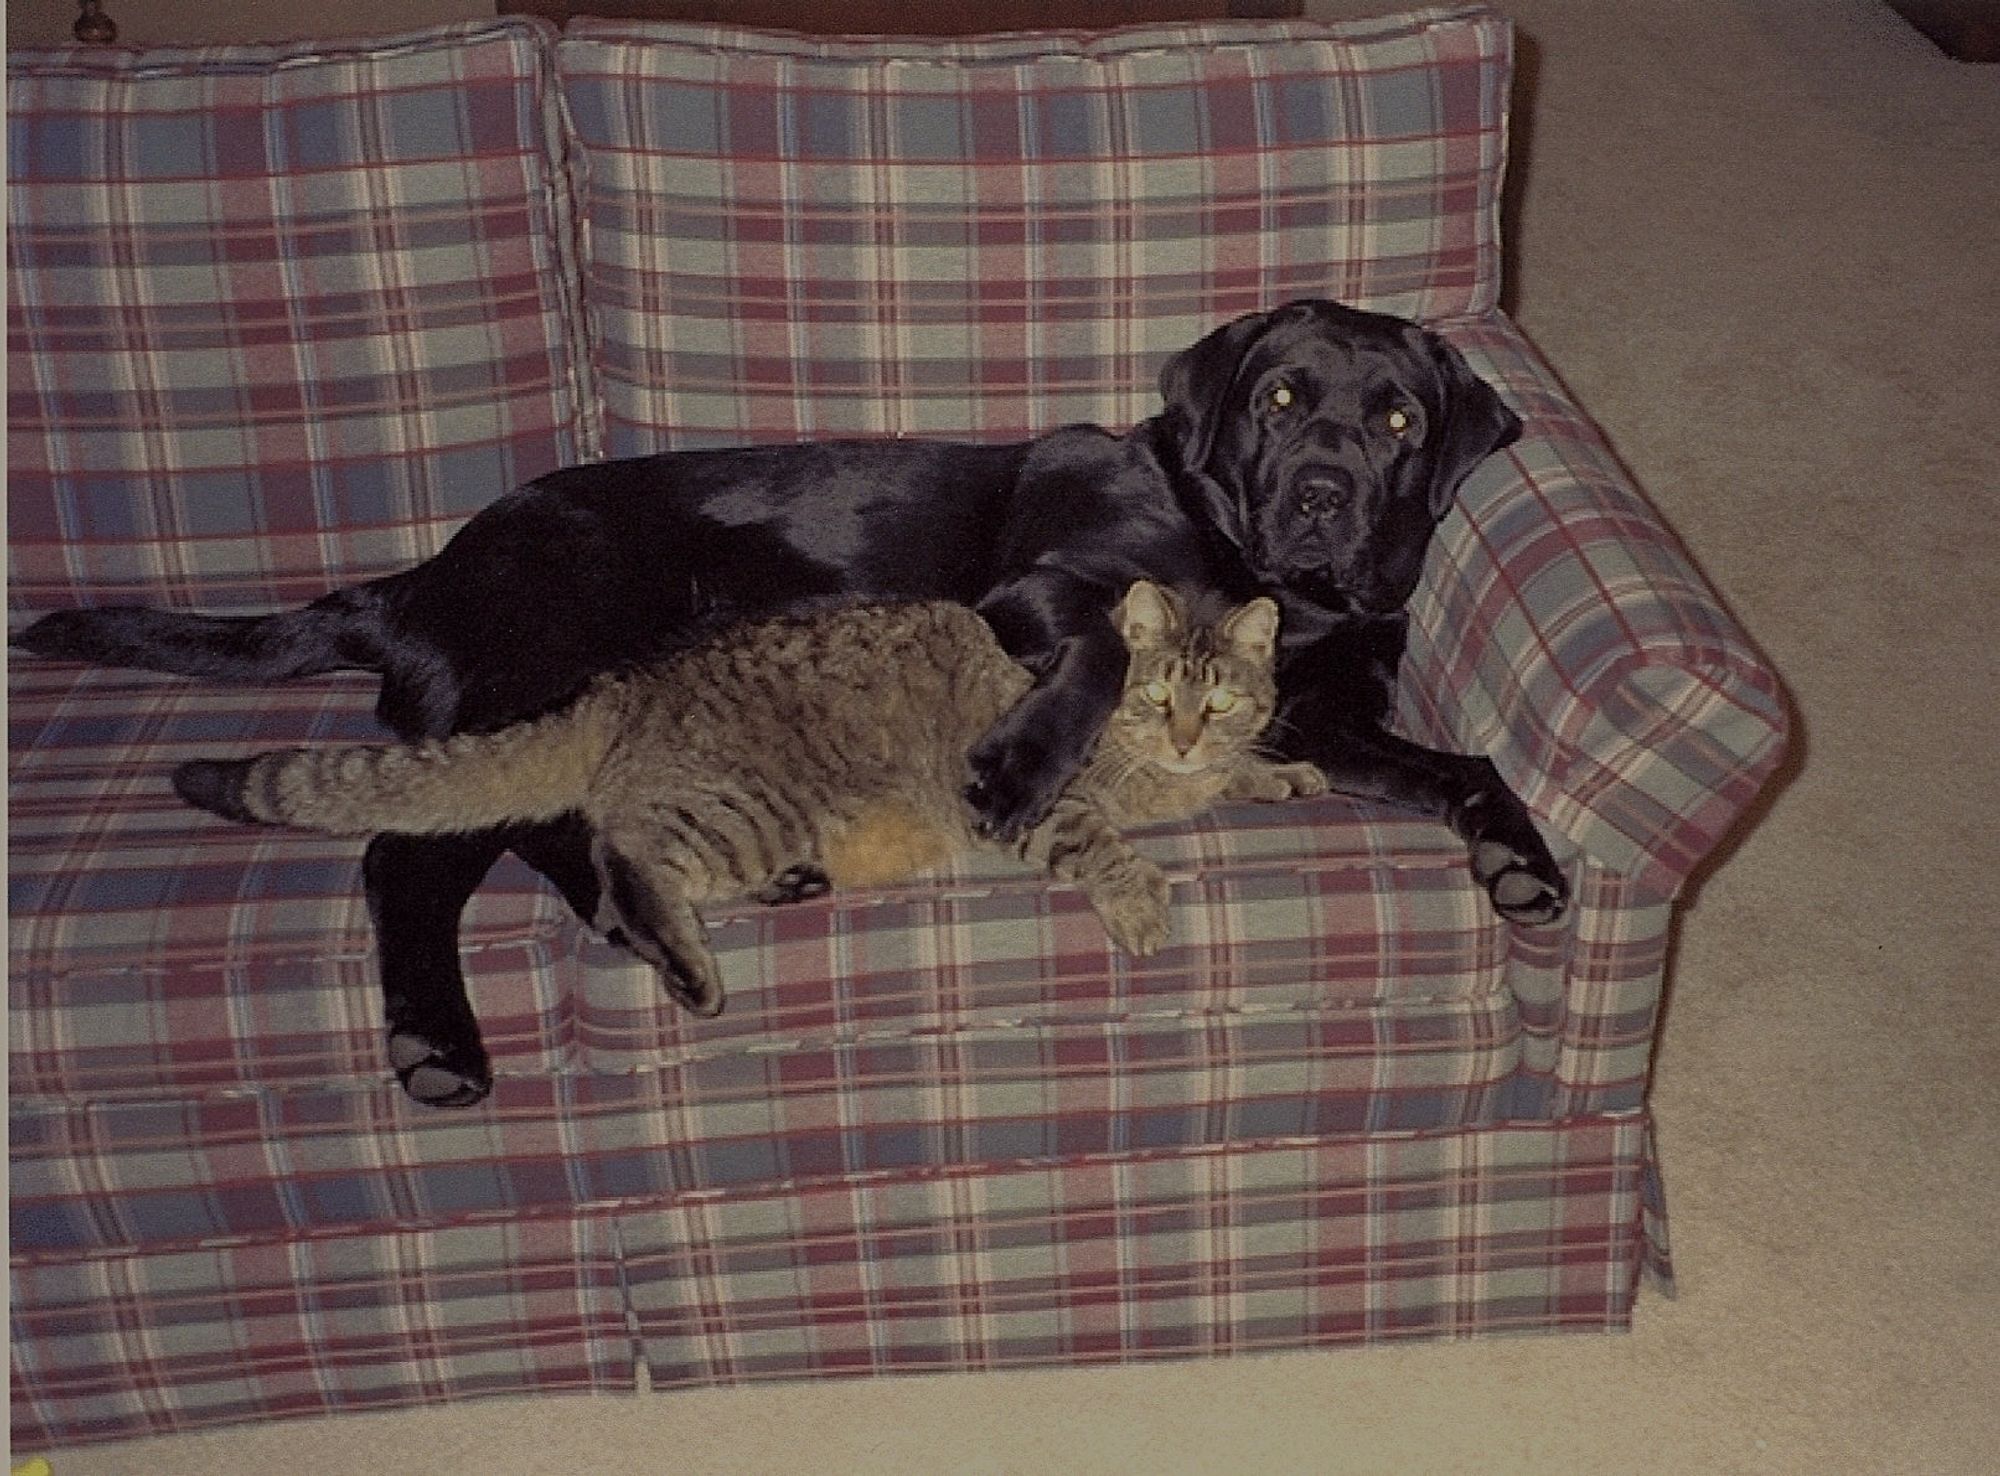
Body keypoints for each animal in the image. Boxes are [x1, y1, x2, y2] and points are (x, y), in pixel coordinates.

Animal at [176, 576, 1328, 1012]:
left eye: (1218, 700)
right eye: (1156, 697)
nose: (1184, 735)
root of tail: (628, 689)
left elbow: (1241, 775)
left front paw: (1278, 772)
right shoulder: (1055, 799)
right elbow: (1102, 846)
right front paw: (1138, 898)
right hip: (740, 808)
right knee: (618, 859)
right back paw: (689, 966)